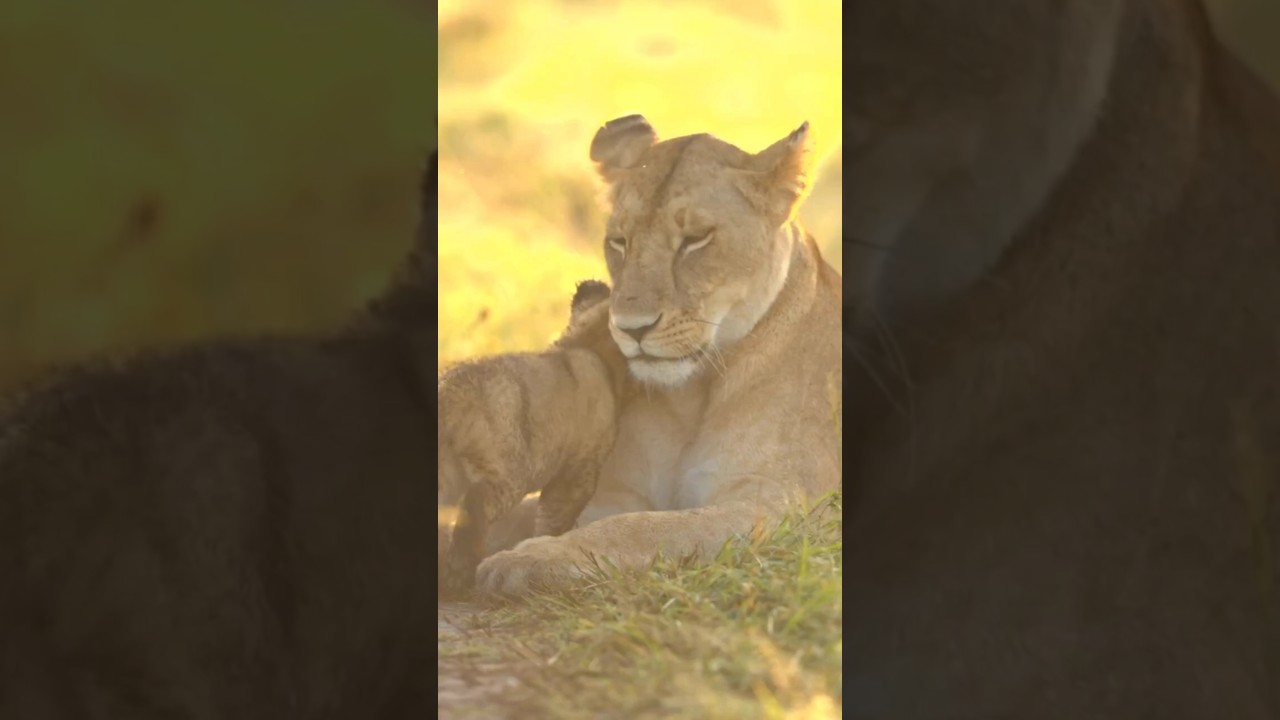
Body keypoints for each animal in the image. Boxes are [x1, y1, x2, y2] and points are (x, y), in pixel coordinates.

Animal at [437, 279, 625, 596]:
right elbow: (554, 518)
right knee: (475, 501)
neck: (580, 344)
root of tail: (449, 391)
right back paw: (458, 575)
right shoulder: (578, 471)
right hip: (508, 469)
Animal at [473, 116, 843, 595]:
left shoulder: (783, 507)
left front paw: (533, 558)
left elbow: (641, 528)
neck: (692, 397)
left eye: (696, 240)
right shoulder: (612, 491)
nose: (632, 328)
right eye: (619, 241)